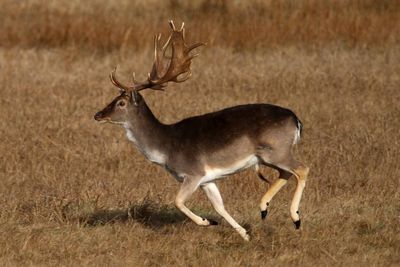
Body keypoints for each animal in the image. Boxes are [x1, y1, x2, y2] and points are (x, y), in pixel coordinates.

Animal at [94, 21, 310, 243]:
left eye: (121, 102)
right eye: (113, 98)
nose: (98, 115)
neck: (165, 148)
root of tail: (296, 119)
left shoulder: (193, 172)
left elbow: (177, 201)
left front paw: (208, 222)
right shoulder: (208, 179)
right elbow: (219, 205)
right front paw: (244, 234)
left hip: (276, 150)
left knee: (302, 169)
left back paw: (296, 218)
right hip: (268, 156)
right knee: (286, 172)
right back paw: (264, 208)